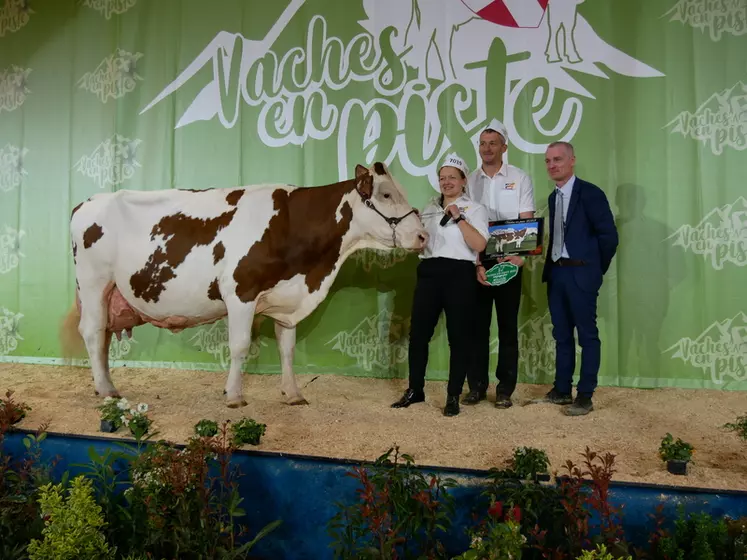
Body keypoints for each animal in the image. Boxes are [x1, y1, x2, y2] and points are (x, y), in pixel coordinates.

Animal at [60, 162, 426, 406]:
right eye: (386, 193)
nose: (423, 235)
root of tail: (86, 203)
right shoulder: (239, 292)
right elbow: (239, 346)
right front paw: (234, 396)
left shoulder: (286, 299)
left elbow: (287, 349)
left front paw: (293, 394)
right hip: (94, 283)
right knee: (93, 332)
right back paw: (107, 391)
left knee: (103, 337)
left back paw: (104, 384)